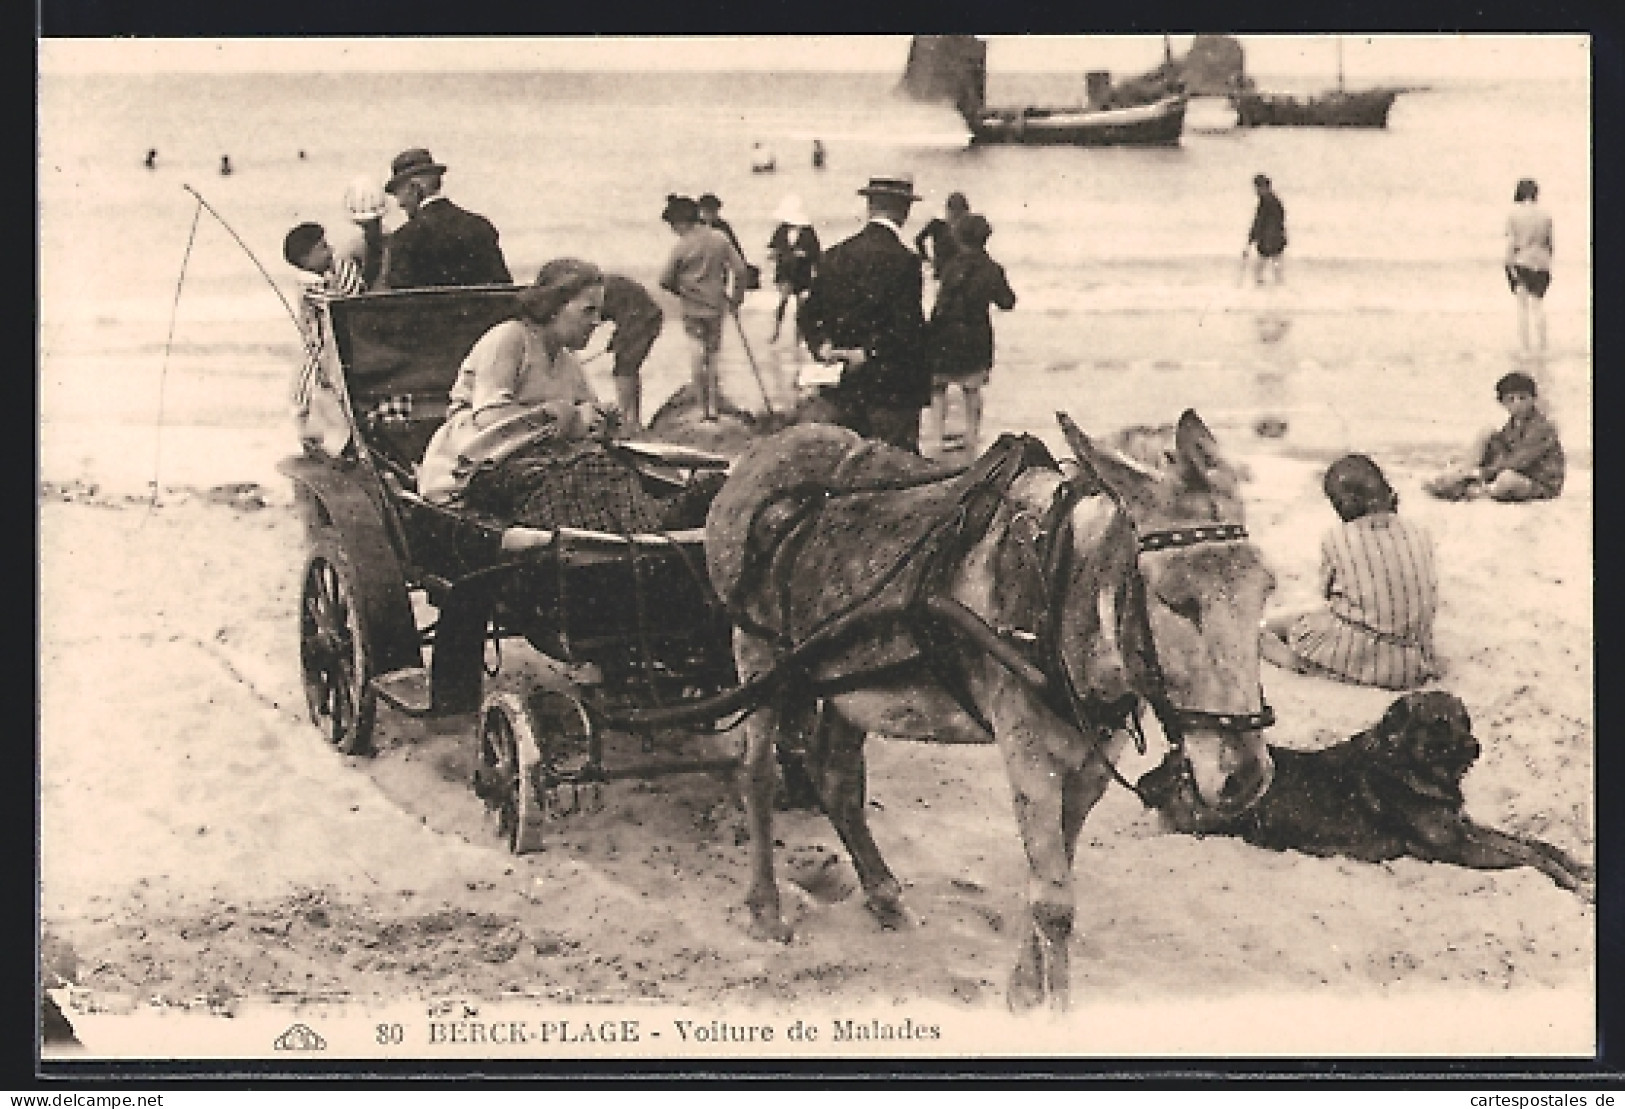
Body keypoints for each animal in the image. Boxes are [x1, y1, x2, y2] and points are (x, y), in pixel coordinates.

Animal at [1137, 686, 1592, 891]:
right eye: (1439, 724)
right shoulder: (1455, 847)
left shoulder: (1464, 827)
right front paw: (1572, 884)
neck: (1405, 765)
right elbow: (1529, 858)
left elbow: (1535, 844)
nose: (1476, 747)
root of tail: (1171, 768)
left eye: (1466, 721)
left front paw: (1578, 867)